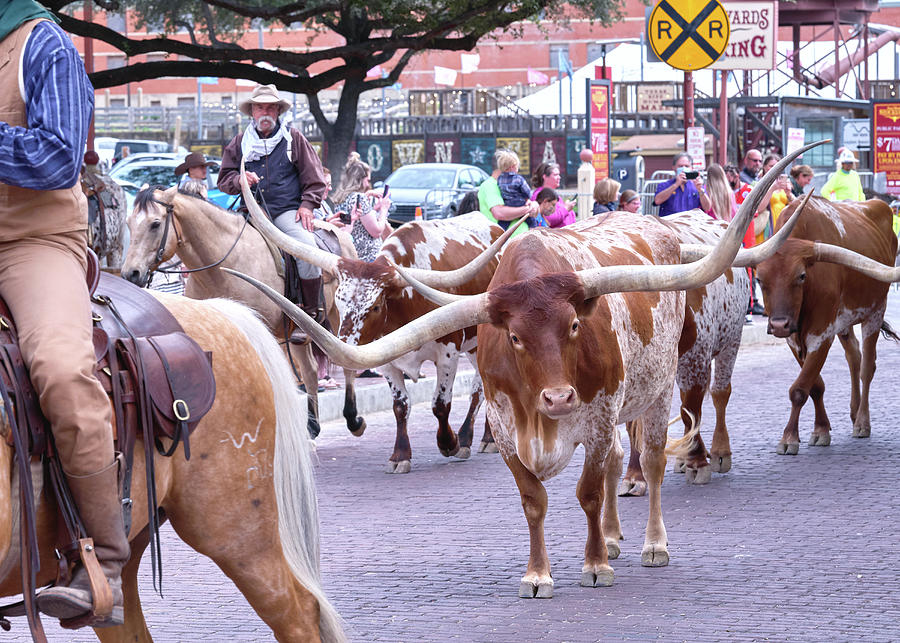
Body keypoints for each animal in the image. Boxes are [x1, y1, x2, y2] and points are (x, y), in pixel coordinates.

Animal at [120, 186, 362, 438]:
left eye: (155, 224)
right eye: (129, 223)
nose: (130, 273)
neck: (222, 269)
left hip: (338, 318)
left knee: (347, 361)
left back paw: (352, 418)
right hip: (300, 330)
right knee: (311, 370)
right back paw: (312, 426)